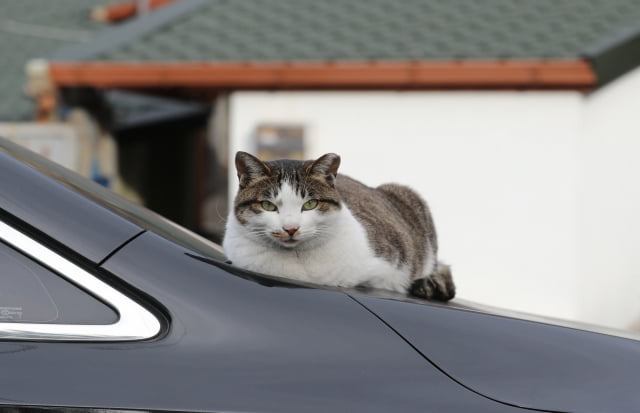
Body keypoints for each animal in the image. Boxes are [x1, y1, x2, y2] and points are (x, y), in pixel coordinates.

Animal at [225, 150, 456, 300]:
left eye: (310, 204)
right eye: (268, 205)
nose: (291, 228)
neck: (297, 262)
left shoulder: (389, 272)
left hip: (408, 195)